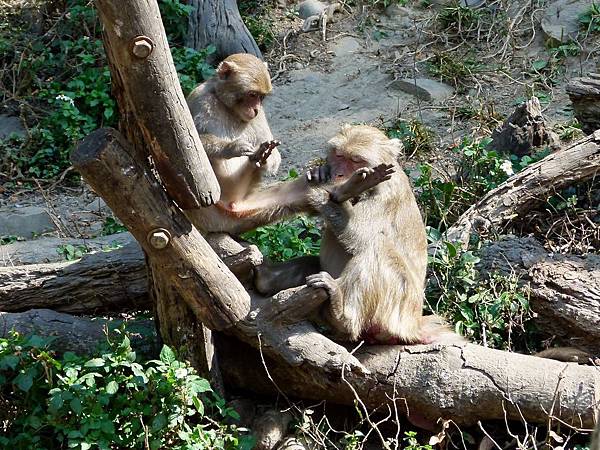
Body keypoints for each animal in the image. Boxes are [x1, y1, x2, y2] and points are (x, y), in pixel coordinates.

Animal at [184, 54, 282, 234]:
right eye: (252, 95)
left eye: (261, 97)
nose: (256, 109)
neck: (227, 106)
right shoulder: (198, 99)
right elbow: (189, 144)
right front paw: (232, 148)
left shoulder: (260, 117)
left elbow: (274, 155)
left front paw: (267, 158)